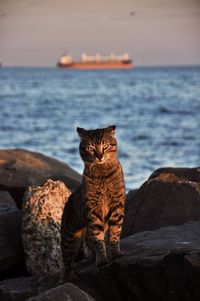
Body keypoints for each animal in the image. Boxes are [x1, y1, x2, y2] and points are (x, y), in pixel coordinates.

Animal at [61, 124, 126, 278]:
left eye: (106, 146)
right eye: (90, 148)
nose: (99, 156)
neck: (102, 173)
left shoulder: (117, 205)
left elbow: (115, 232)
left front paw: (115, 253)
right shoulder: (93, 209)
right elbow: (98, 238)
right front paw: (102, 259)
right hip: (68, 238)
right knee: (67, 264)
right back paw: (65, 279)